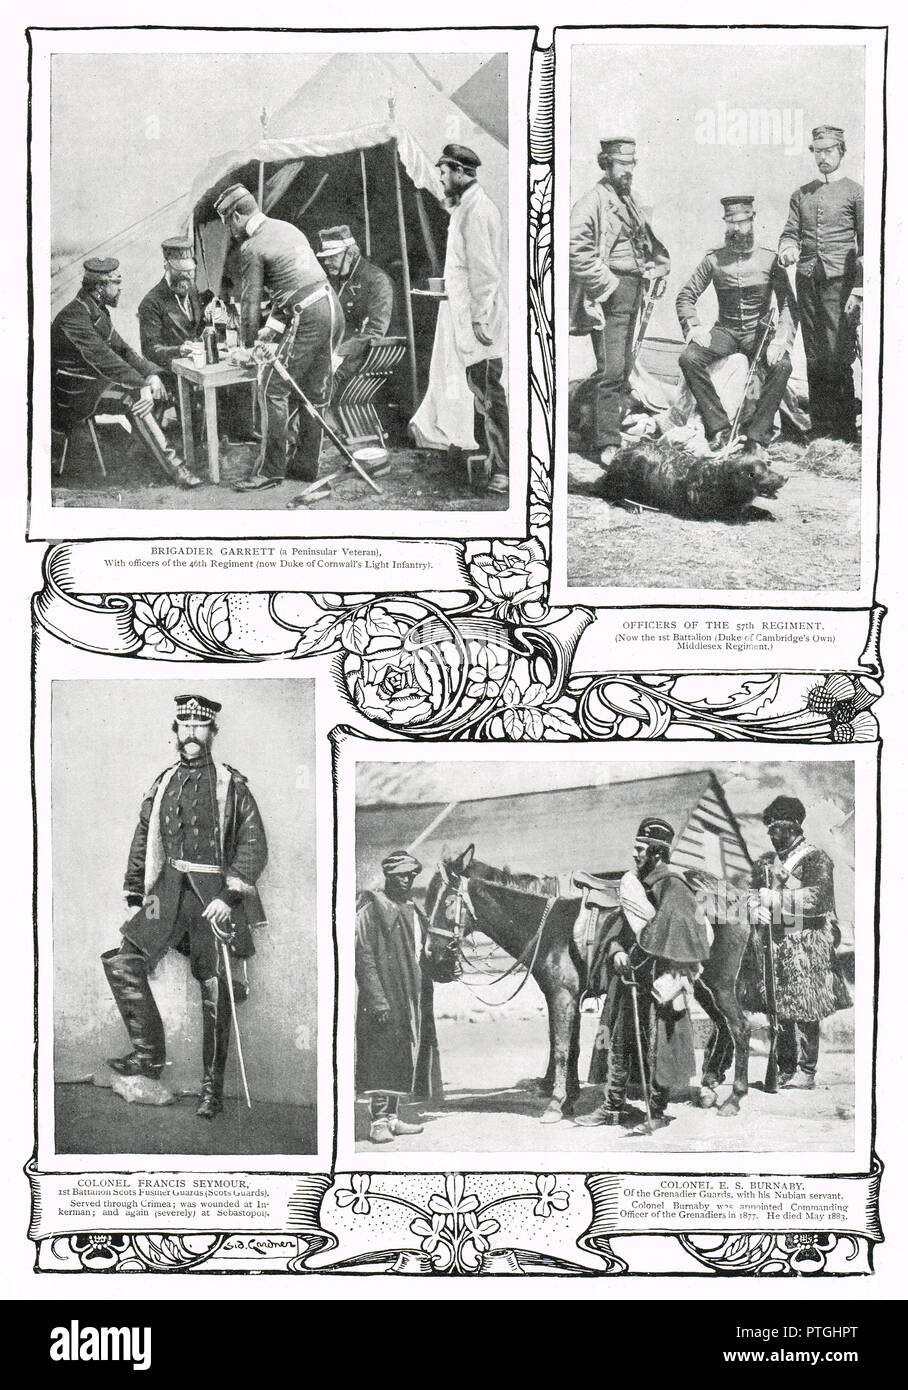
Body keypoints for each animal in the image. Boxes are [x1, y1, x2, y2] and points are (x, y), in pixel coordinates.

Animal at [422, 839, 761, 1123]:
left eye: (447, 902)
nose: (432, 960)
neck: (550, 923)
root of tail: (737, 897)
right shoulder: (568, 996)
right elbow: (569, 1047)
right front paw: (569, 1098)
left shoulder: (561, 995)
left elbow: (559, 1047)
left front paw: (555, 1103)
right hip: (703, 986)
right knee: (723, 1027)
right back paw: (709, 1089)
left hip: (720, 983)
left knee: (740, 1029)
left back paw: (733, 1099)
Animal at [595, 442, 784, 519]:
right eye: (764, 472)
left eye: (769, 467)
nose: (785, 477)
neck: (721, 479)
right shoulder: (717, 509)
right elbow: (741, 511)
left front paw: (767, 513)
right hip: (626, 477)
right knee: (612, 495)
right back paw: (632, 505)